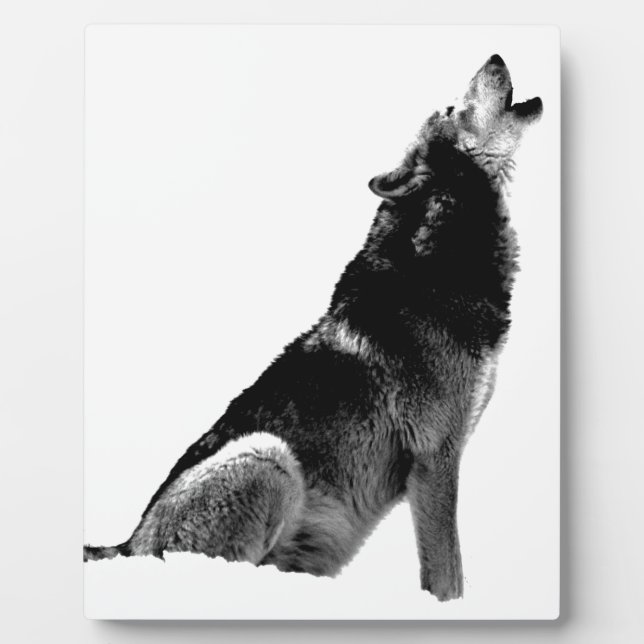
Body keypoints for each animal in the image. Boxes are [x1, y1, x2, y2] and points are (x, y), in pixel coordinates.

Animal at [84, 54, 542, 602]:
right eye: (452, 108)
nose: (495, 57)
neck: (439, 259)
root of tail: (129, 544)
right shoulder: (435, 458)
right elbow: (447, 574)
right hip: (268, 457)